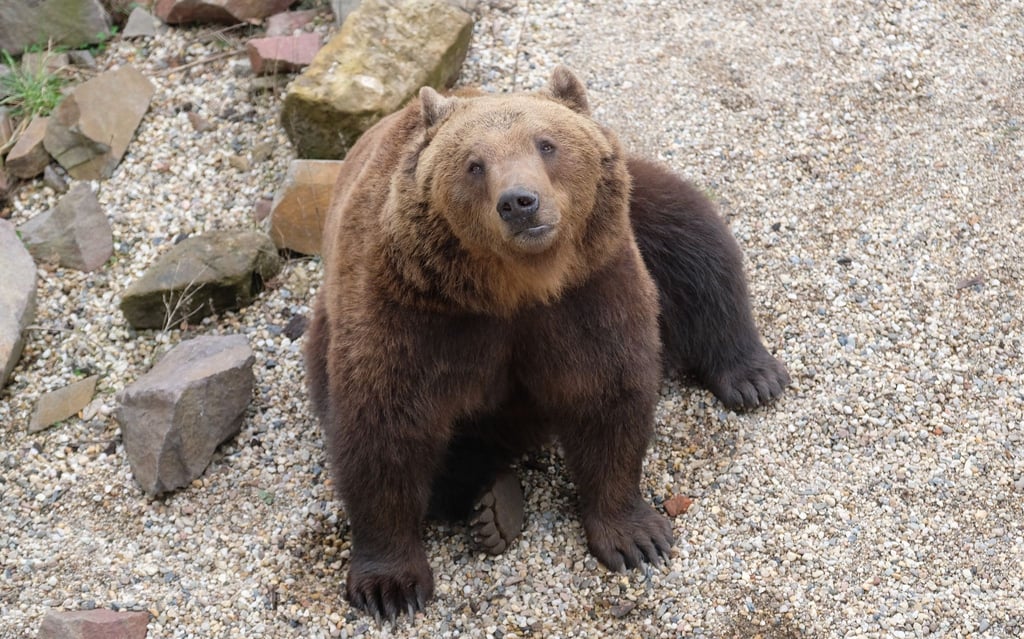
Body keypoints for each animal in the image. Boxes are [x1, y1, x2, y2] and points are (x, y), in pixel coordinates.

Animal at [304, 66, 789, 621]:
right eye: (474, 164)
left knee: (694, 240)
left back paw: (752, 376)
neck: (517, 288)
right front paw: (390, 585)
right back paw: (493, 502)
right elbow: (384, 425)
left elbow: (608, 394)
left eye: (547, 143)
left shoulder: (587, 291)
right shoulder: (414, 314)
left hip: (638, 211)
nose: (519, 202)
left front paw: (635, 537)